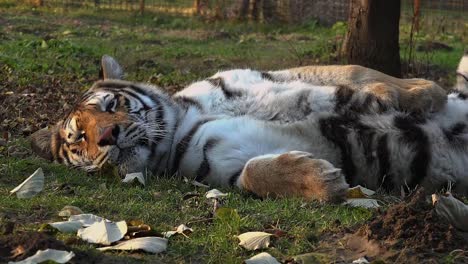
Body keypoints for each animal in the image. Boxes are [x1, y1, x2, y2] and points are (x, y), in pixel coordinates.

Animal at [30, 55, 468, 202]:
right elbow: (256, 172)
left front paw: (424, 95)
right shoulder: (223, 163)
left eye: (111, 105)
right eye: (79, 139)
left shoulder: (274, 77)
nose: (107, 137)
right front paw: (325, 181)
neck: (182, 123)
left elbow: (361, 75)